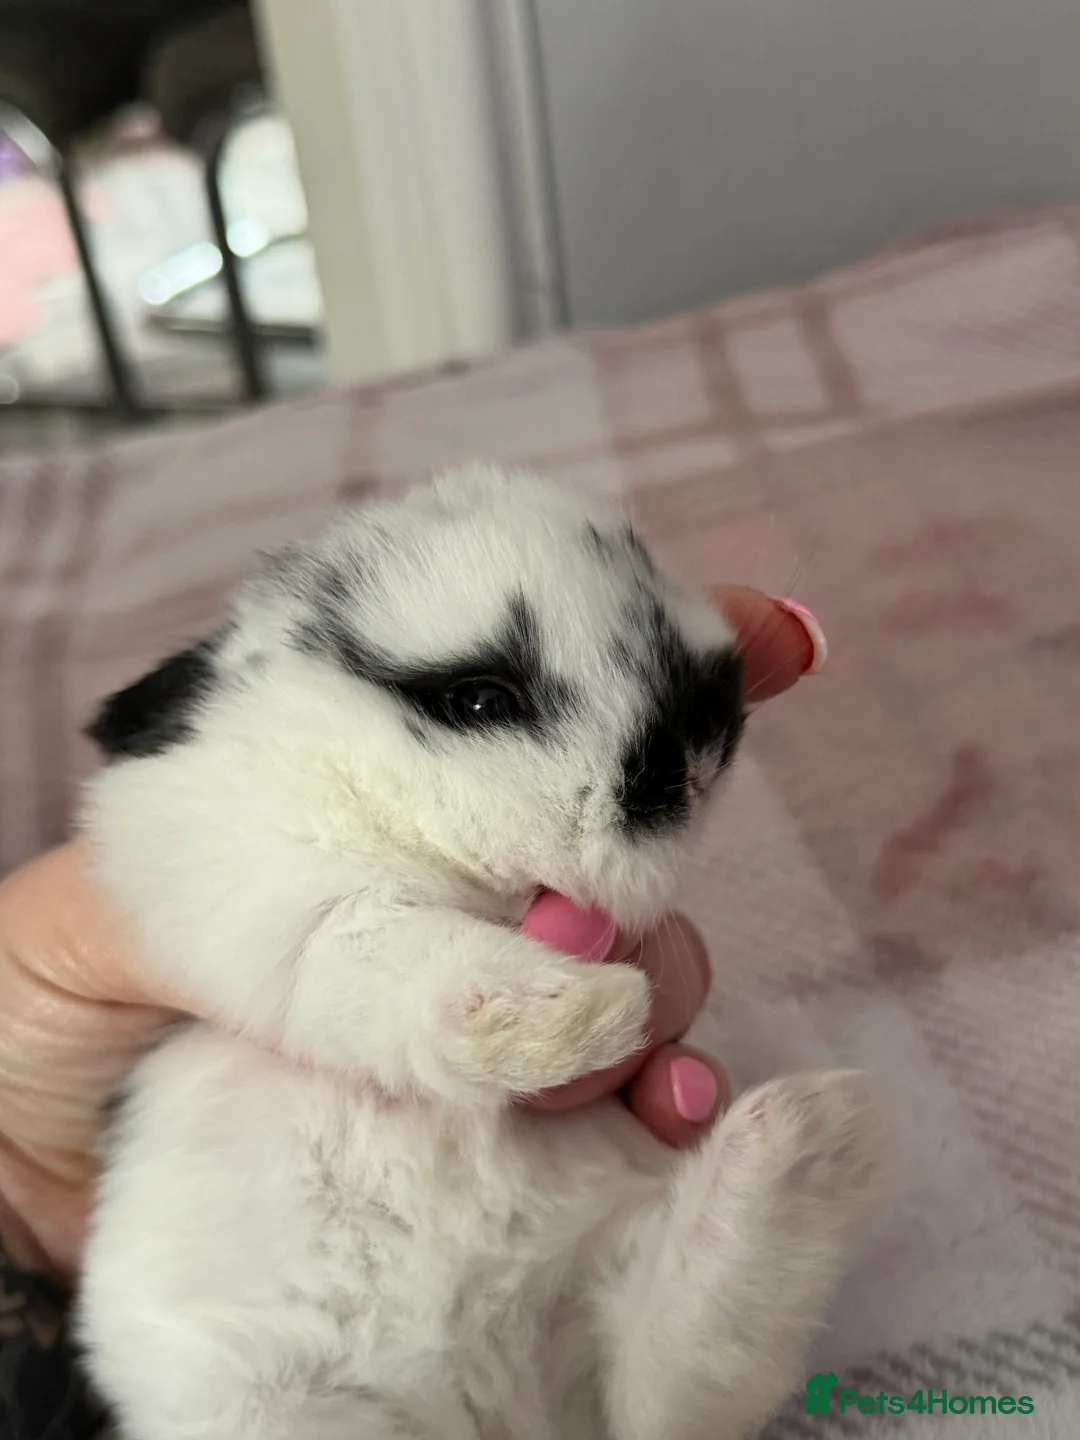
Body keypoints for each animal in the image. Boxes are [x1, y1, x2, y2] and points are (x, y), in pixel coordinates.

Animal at [76, 464, 882, 1440]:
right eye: (479, 699)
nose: (702, 744)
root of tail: (488, 1399)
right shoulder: (264, 898)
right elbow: (389, 950)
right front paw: (587, 1010)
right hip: (277, 1412)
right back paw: (815, 1135)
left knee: (672, 1380)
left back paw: (810, 1141)